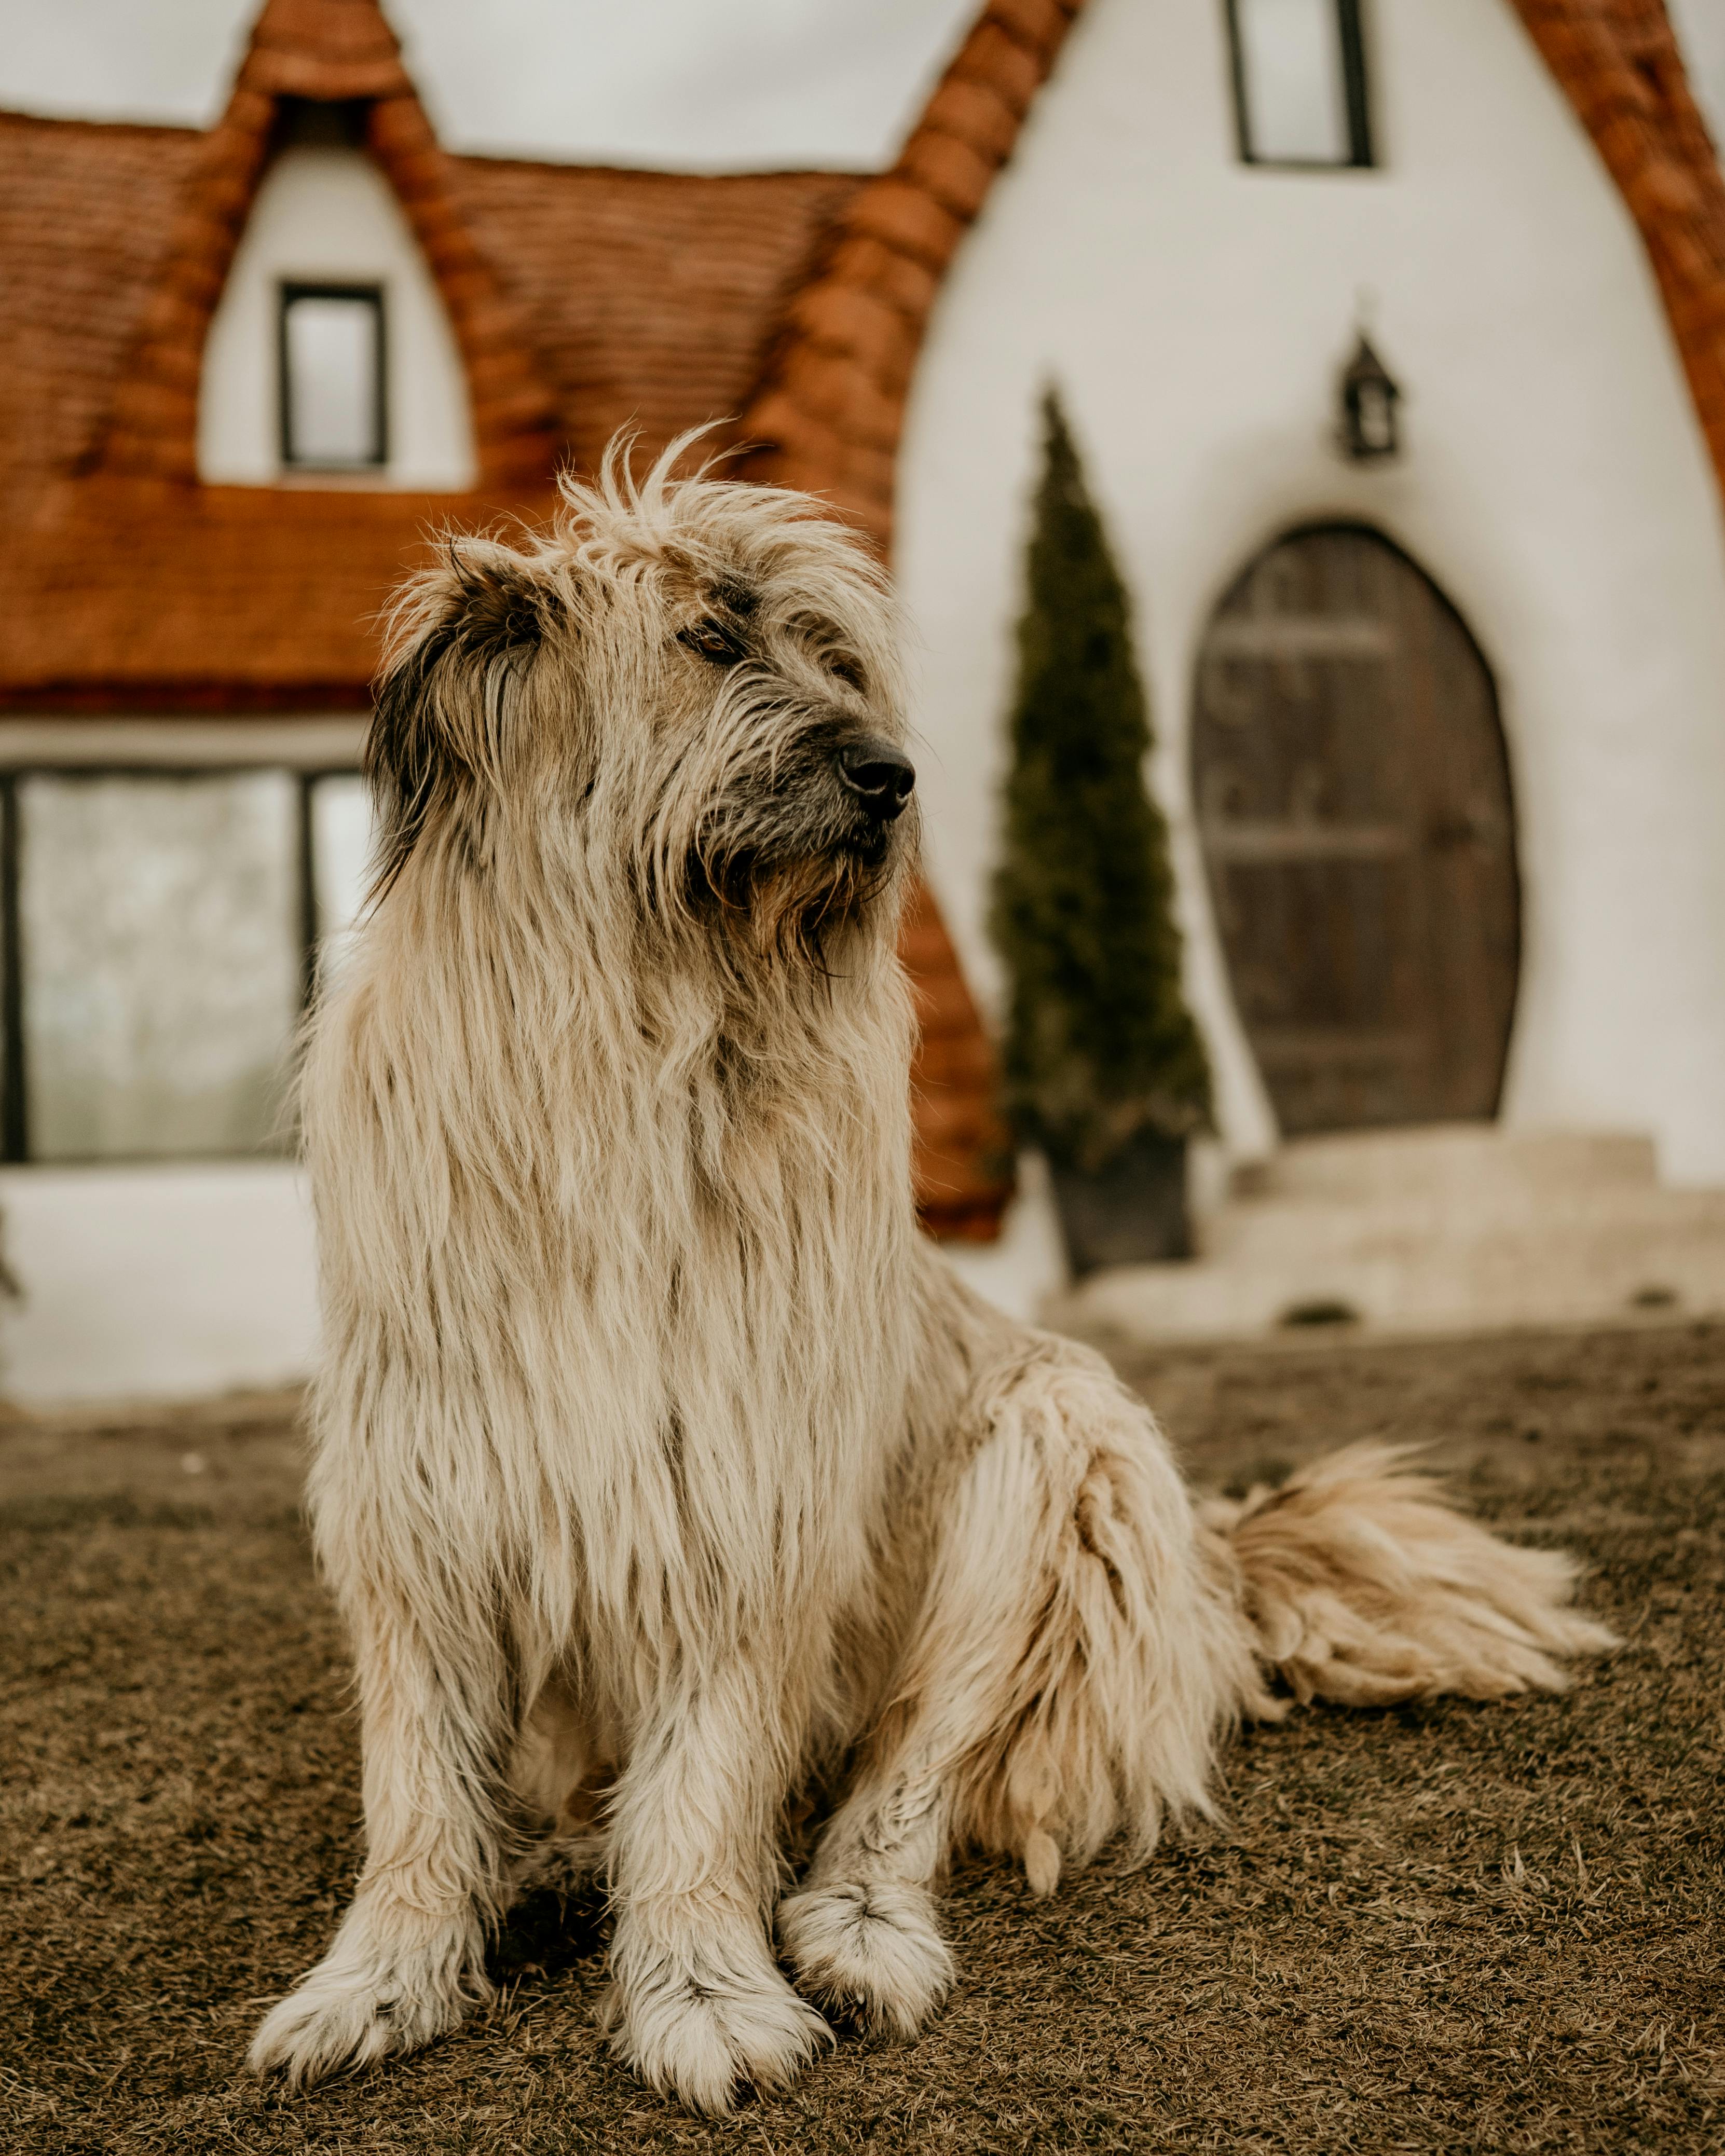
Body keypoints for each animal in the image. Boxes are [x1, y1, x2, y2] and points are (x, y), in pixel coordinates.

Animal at [245, 437, 1621, 2104]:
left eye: (834, 660)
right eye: (708, 640)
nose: (886, 776)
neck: (631, 1061)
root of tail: (1214, 1570)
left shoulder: (744, 1494)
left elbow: (707, 1780)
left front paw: (700, 1989)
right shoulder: (424, 1496)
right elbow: (419, 1792)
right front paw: (379, 1977)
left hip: (1054, 1454)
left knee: (909, 1779)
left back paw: (847, 1923)